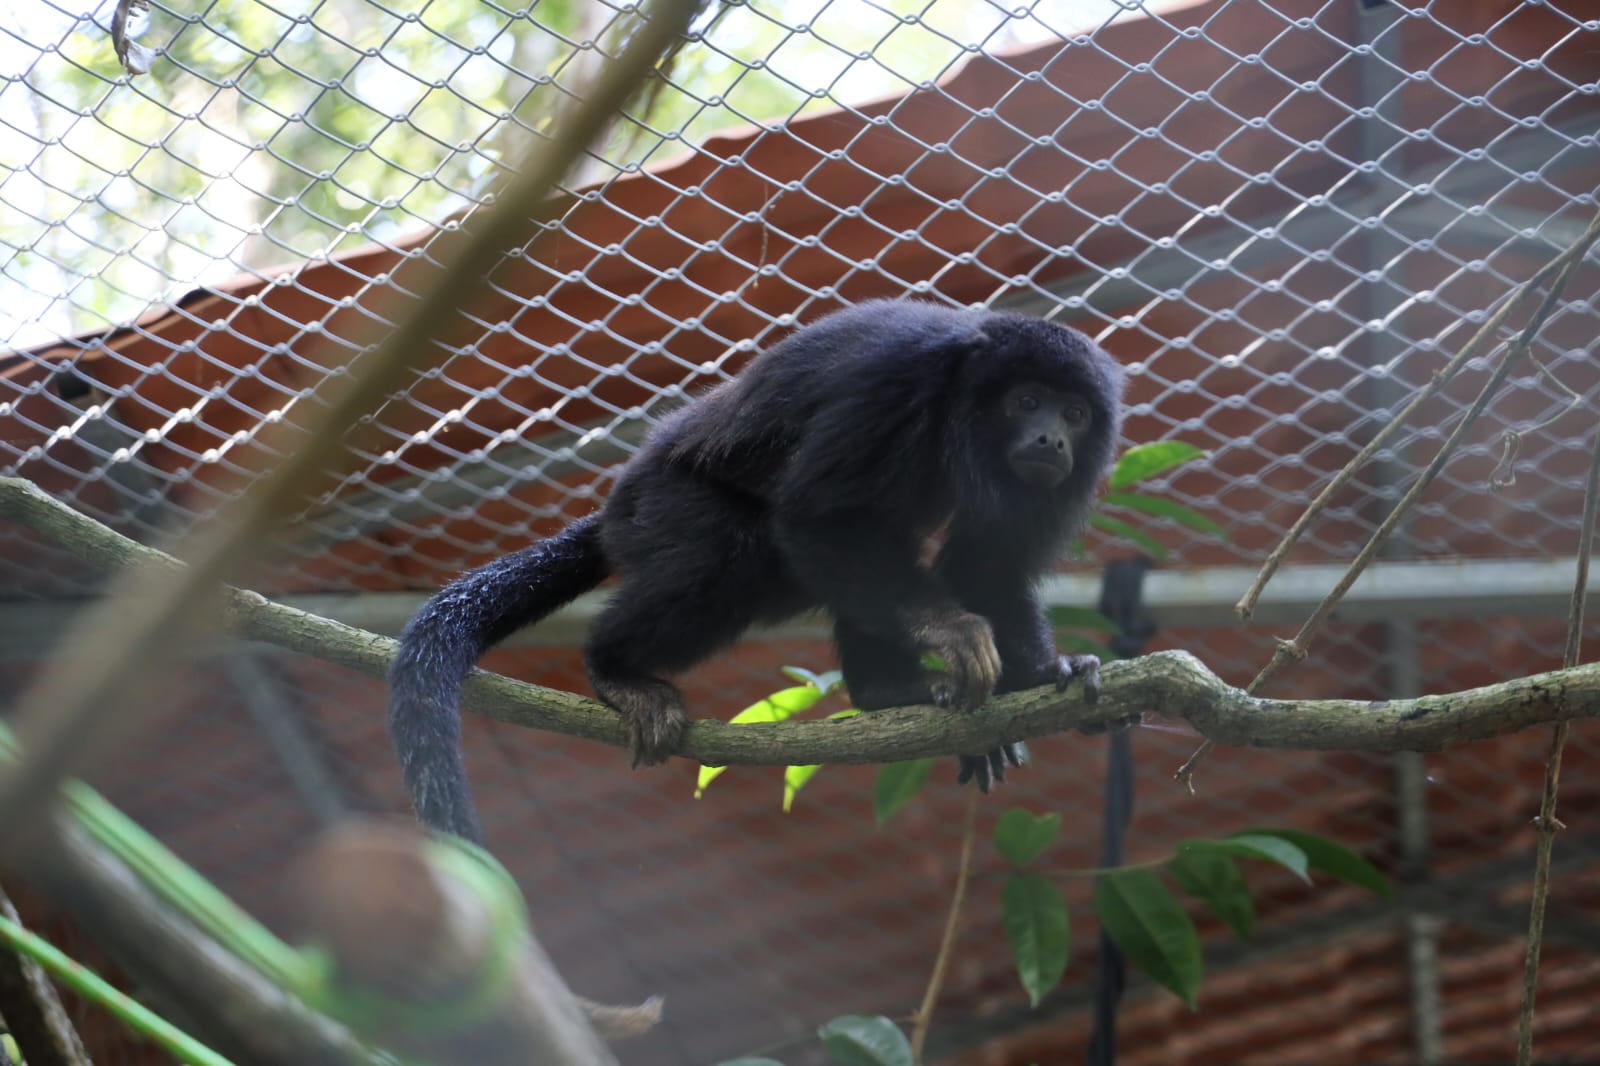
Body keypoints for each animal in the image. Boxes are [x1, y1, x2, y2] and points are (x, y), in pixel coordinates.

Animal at [388, 300, 1125, 843]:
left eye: (1076, 413)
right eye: (1027, 401)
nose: (1052, 439)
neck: (963, 406)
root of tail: (619, 501)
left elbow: (989, 562)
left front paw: (1042, 673)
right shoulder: (898, 384)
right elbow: (817, 516)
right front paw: (951, 631)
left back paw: (885, 692)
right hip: (666, 503)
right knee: (741, 553)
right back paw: (615, 668)